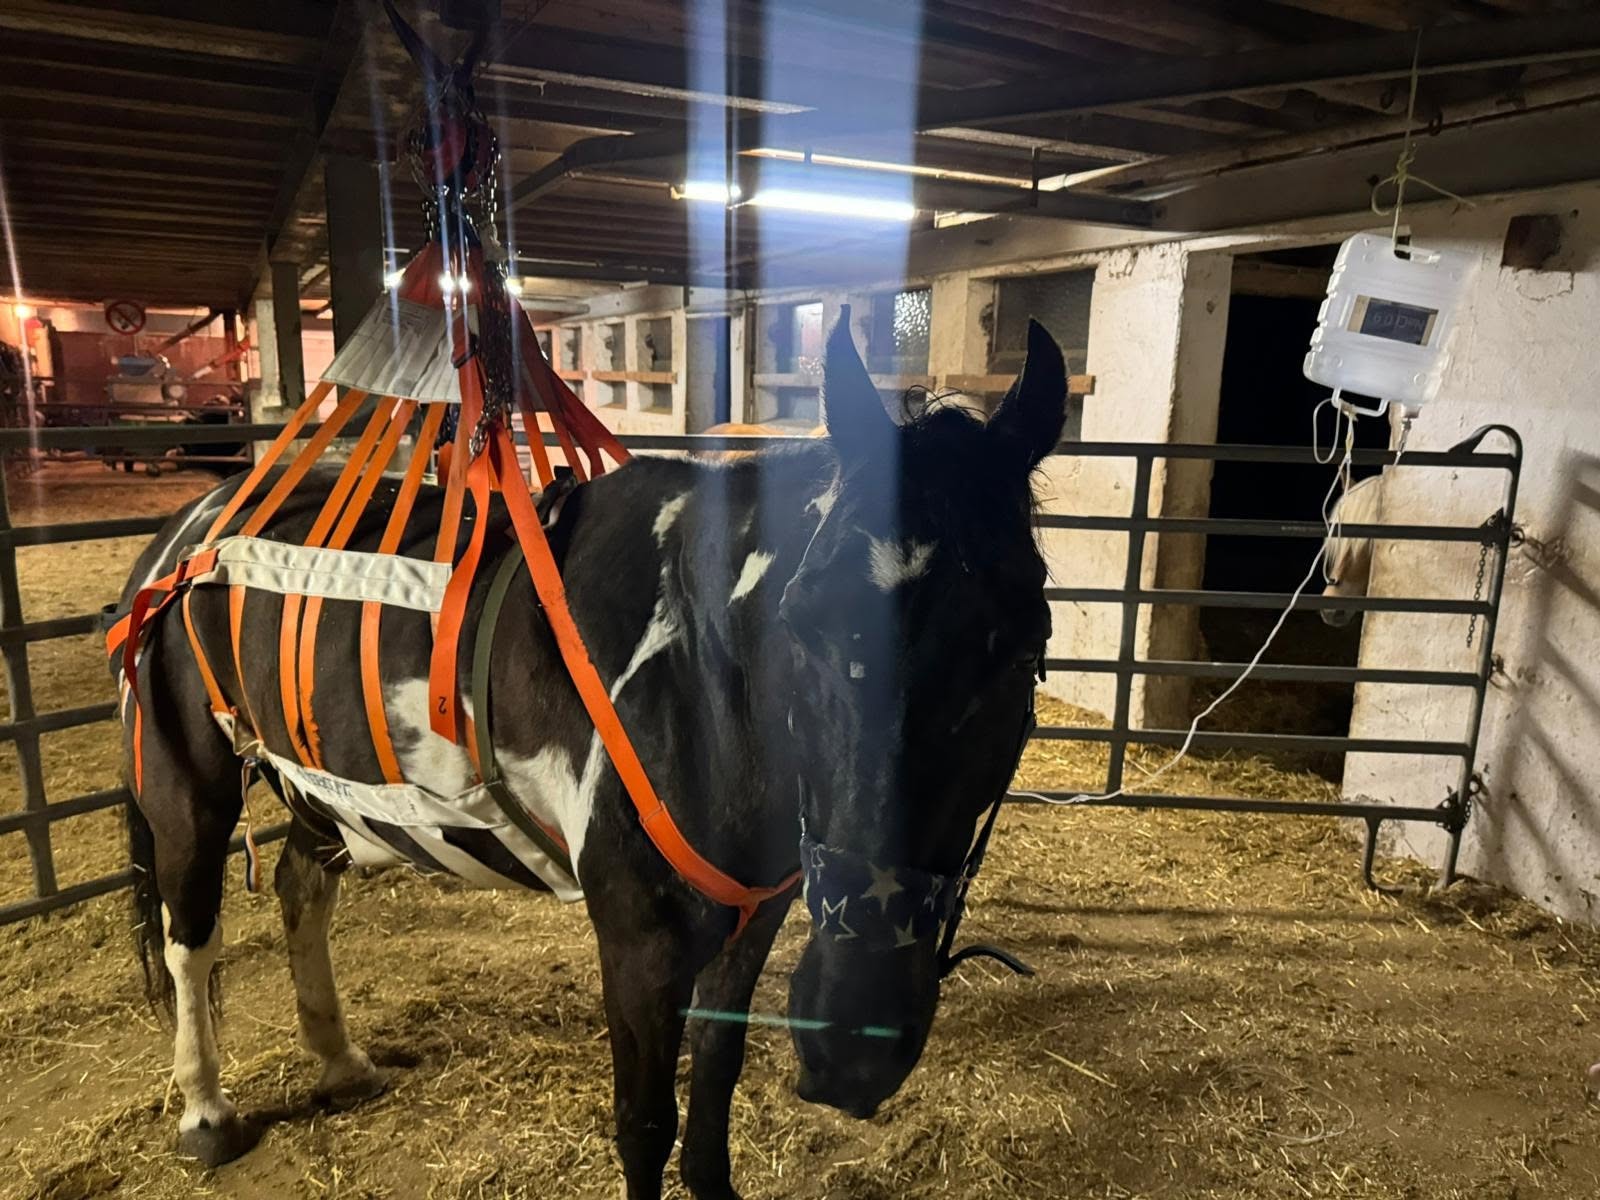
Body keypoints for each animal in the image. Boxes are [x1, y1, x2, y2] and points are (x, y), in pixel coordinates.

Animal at [114, 314, 1068, 1199]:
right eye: (803, 620)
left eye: (1027, 643)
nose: (851, 1039)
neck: (696, 676)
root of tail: (190, 530)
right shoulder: (638, 946)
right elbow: (646, 1124)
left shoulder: (751, 925)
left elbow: (715, 1083)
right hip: (188, 783)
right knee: (189, 938)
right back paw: (206, 1111)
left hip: (321, 791)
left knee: (300, 889)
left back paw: (340, 1060)